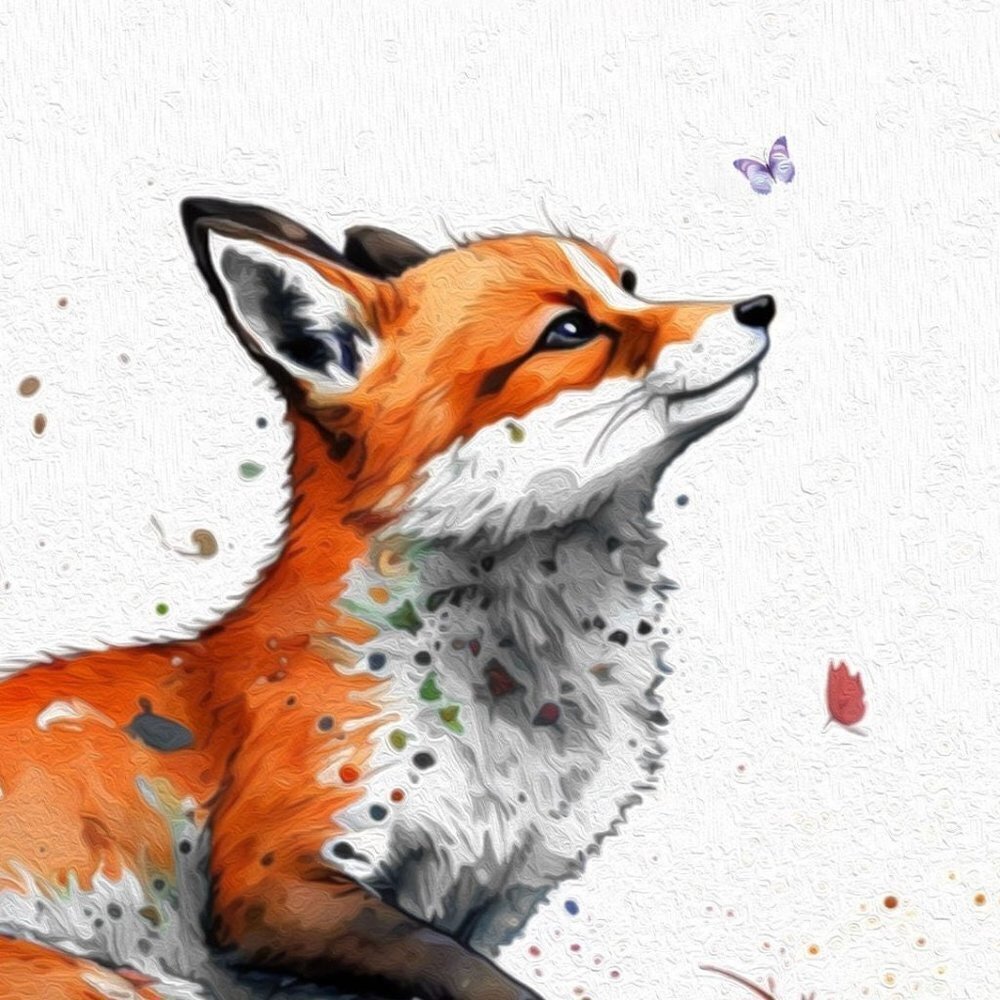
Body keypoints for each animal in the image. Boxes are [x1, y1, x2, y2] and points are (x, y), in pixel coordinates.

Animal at [0, 198, 773, 1000]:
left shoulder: (498, 884)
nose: (761, 306)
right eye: (569, 329)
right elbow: (480, 982)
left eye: (629, 282)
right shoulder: (276, 885)